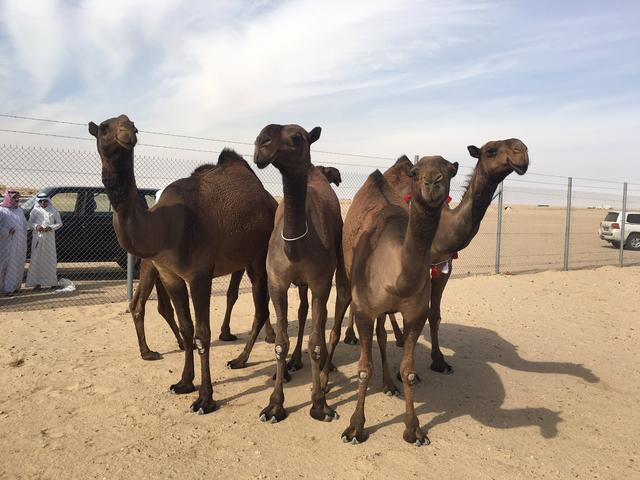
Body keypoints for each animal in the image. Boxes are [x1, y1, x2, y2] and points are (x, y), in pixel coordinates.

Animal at [89, 114, 276, 414]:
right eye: (104, 128)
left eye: (134, 125)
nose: (127, 133)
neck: (164, 226)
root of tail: (271, 200)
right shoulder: (170, 275)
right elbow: (187, 328)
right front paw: (184, 382)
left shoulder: (199, 275)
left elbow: (202, 333)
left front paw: (205, 399)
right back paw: (242, 359)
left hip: (260, 255)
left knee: (261, 307)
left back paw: (241, 360)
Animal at [253, 124, 347, 423]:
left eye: (297, 137)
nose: (261, 143)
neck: (296, 245)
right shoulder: (277, 282)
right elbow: (280, 342)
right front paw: (274, 405)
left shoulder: (320, 281)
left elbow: (315, 341)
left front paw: (320, 404)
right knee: (303, 310)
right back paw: (291, 364)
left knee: (320, 315)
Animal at [339, 155, 457, 445]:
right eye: (415, 172)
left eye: (451, 170)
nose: (432, 182)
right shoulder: (364, 310)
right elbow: (363, 369)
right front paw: (355, 428)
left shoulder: (415, 314)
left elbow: (408, 370)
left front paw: (414, 430)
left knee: (383, 336)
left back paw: (389, 385)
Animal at [340, 139, 529, 377]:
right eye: (490, 150)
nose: (521, 152)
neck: (444, 227)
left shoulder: (444, 264)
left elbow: (434, 313)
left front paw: (439, 361)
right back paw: (352, 336)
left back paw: (399, 337)